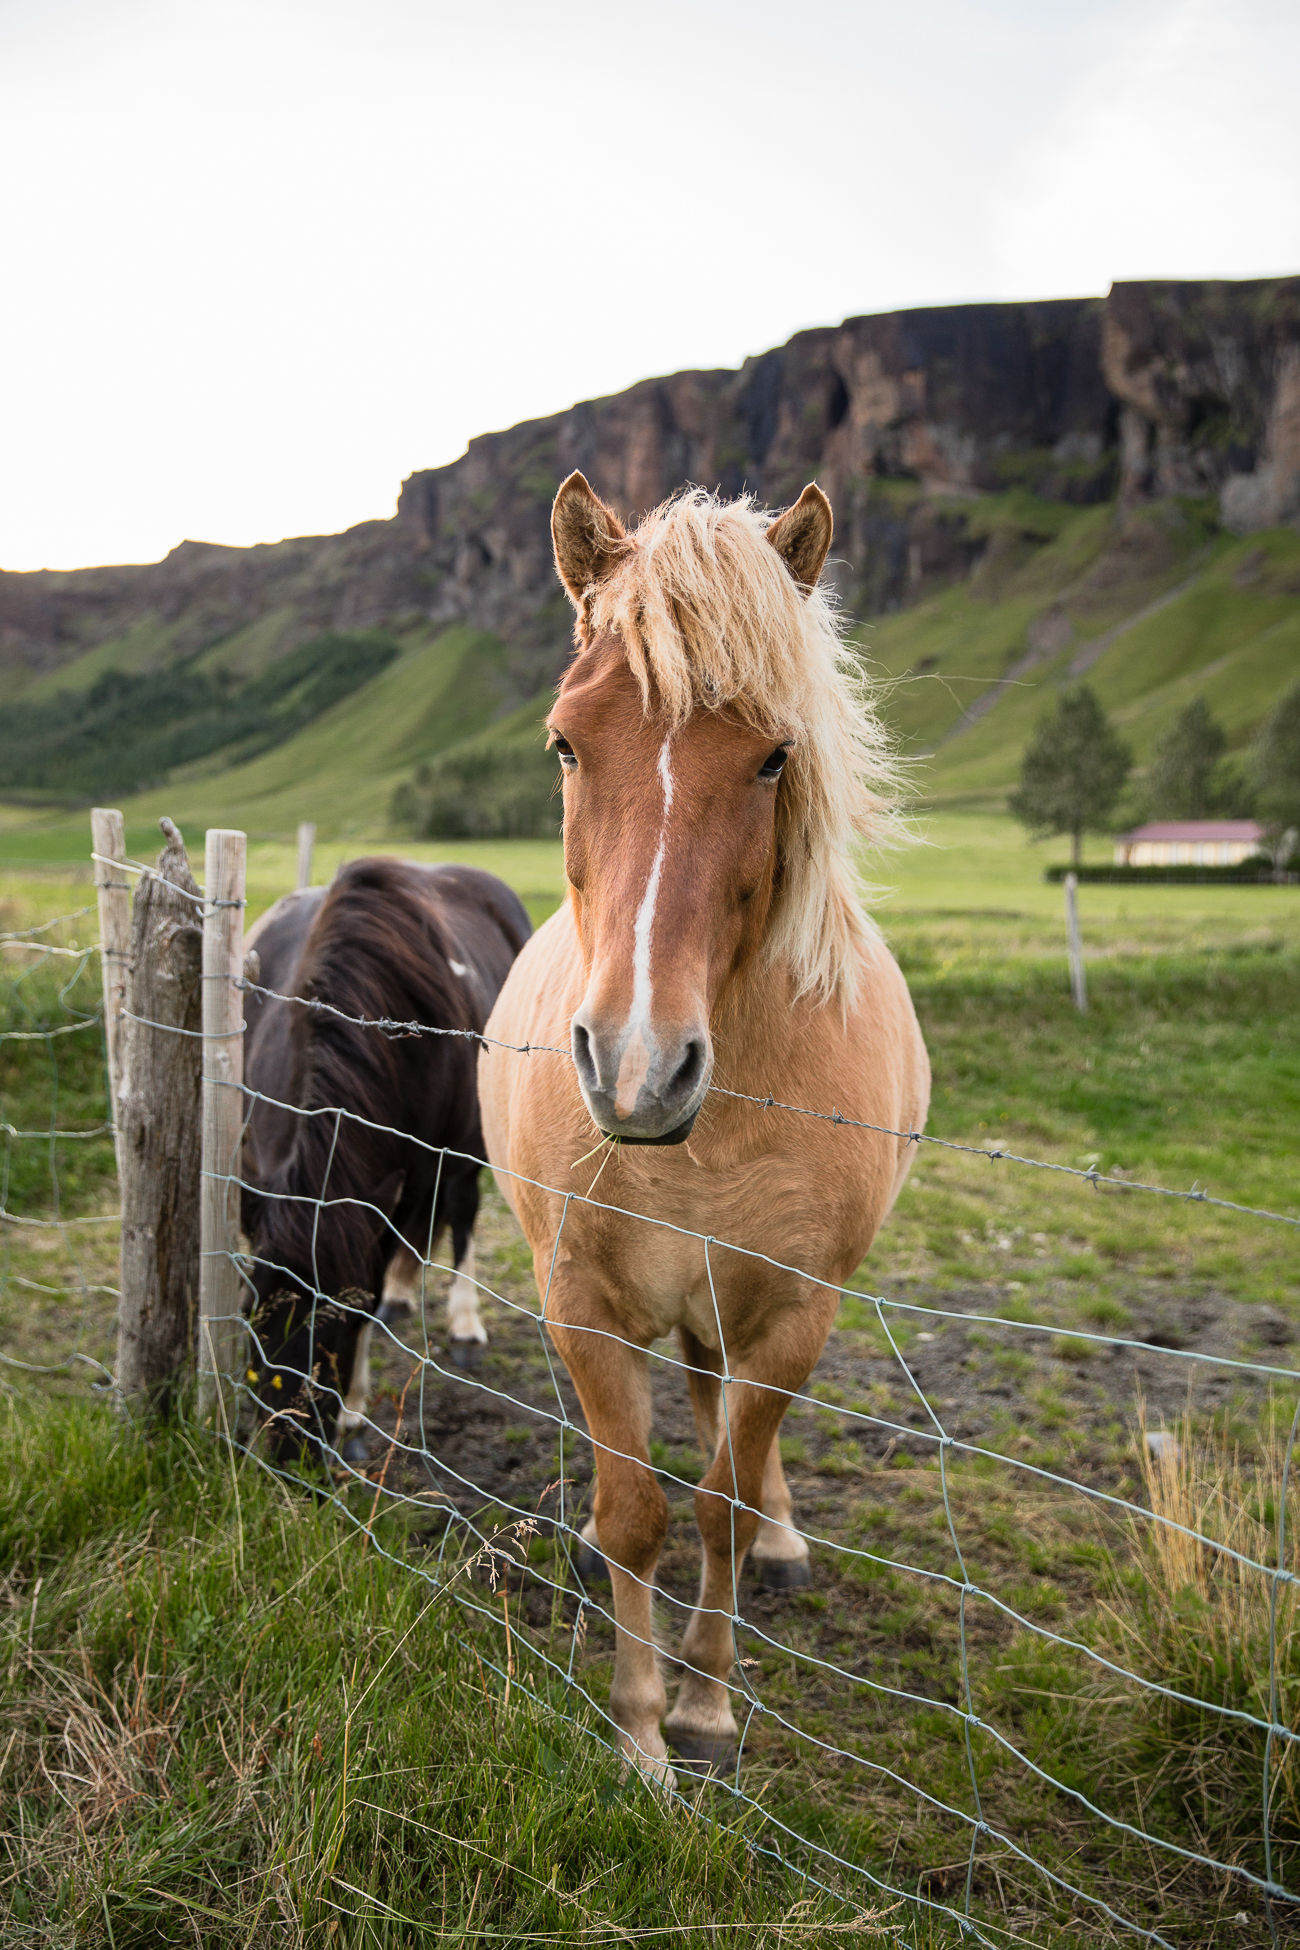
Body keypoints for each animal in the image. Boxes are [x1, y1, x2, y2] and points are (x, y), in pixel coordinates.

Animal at [243, 858, 530, 1466]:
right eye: (251, 1316)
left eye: (342, 1322)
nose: (285, 1452)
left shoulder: (412, 1174)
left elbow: (379, 1270)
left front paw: (353, 1411)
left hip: (467, 1146)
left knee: (460, 1211)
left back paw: (464, 1321)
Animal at [483, 475, 931, 1786]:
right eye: (565, 742)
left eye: (776, 756)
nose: (637, 1068)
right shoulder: (583, 1305)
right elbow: (638, 1511)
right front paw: (637, 1732)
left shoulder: (792, 1314)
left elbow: (720, 1499)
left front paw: (704, 1705)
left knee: (730, 1444)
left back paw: (777, 1543)